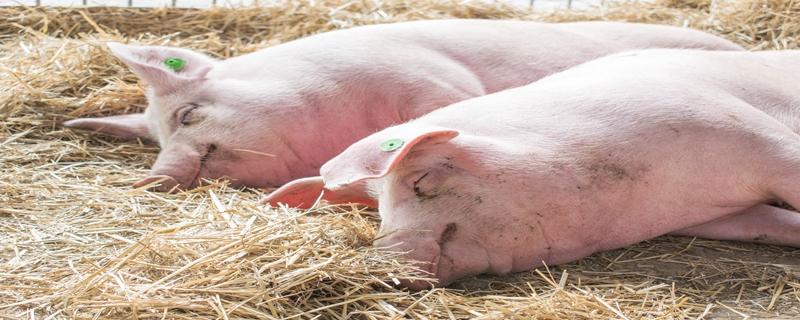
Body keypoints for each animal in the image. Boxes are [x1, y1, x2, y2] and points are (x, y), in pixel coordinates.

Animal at [266, 48, 800, 288]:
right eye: (377, 211)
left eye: (421, 180)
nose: (382, 260)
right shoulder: (722, 216)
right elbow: (774, 225)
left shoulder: (751, 134)